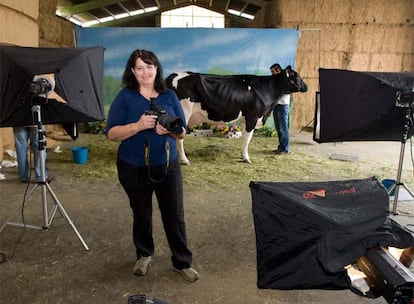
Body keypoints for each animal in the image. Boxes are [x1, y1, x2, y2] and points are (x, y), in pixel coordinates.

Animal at [166, 66, 308, 164]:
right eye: (298, 77)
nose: (307, 87)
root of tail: (175, 75)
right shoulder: (252, 117)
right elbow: (247, 139)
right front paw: (246, 158)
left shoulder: (247, 120)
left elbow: (245, 138)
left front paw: (243, 155)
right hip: (183, 114)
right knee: (179, 138)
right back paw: (184, 160)